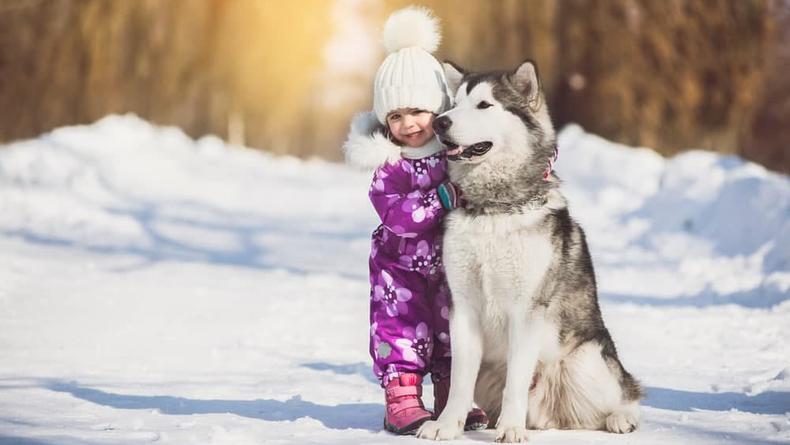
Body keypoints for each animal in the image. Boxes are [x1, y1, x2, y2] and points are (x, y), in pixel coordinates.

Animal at [414, 61, 644, 440]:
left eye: (484, 105)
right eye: (454, 103)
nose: (440, 122)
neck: (495, 208)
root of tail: (550, 415)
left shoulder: (526, 310)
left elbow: (516, 380)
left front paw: (510, 429)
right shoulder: (463, 307)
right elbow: (459, 381)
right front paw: (446, 426)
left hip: (587, 361)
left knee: (627, 394)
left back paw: (620, 418)